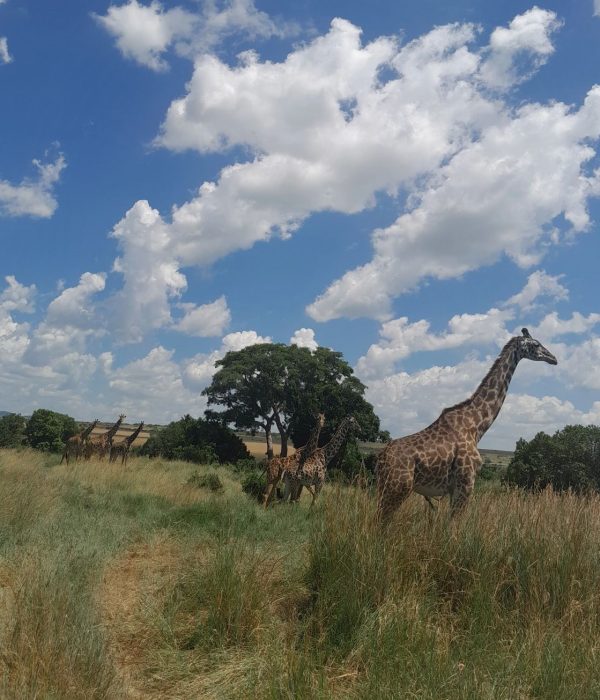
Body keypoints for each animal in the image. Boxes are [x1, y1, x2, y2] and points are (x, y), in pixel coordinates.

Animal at [376, 328, 558, 523]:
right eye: (536, 344)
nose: (553, 358)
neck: (476, 426)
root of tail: (381, 459)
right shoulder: (466, 484)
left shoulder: (455, 489)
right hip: (397, 488)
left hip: (386, 488)